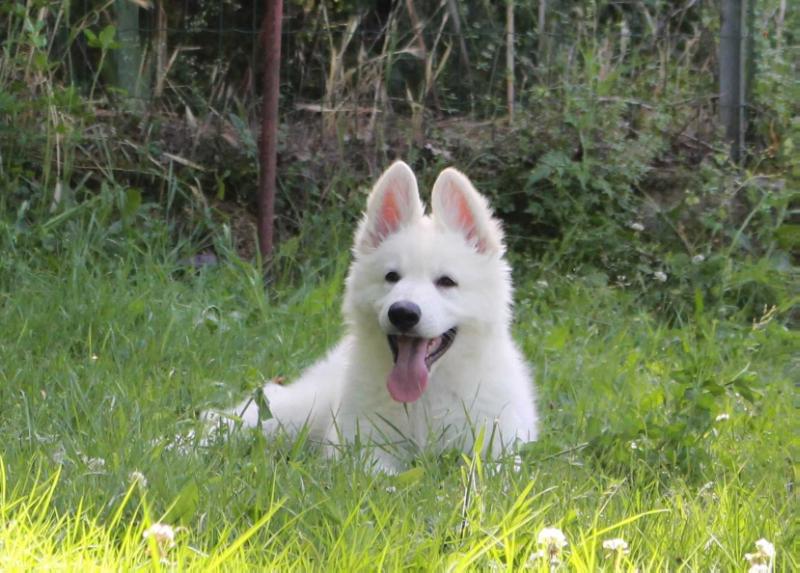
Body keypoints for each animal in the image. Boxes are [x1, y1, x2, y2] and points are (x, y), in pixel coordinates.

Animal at [217, 161, 536, 470]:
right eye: (391, 277)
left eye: (446, 282)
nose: (403, 313)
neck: (424, 397)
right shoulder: (359, 446)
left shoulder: (496, 447)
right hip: (297, 413)